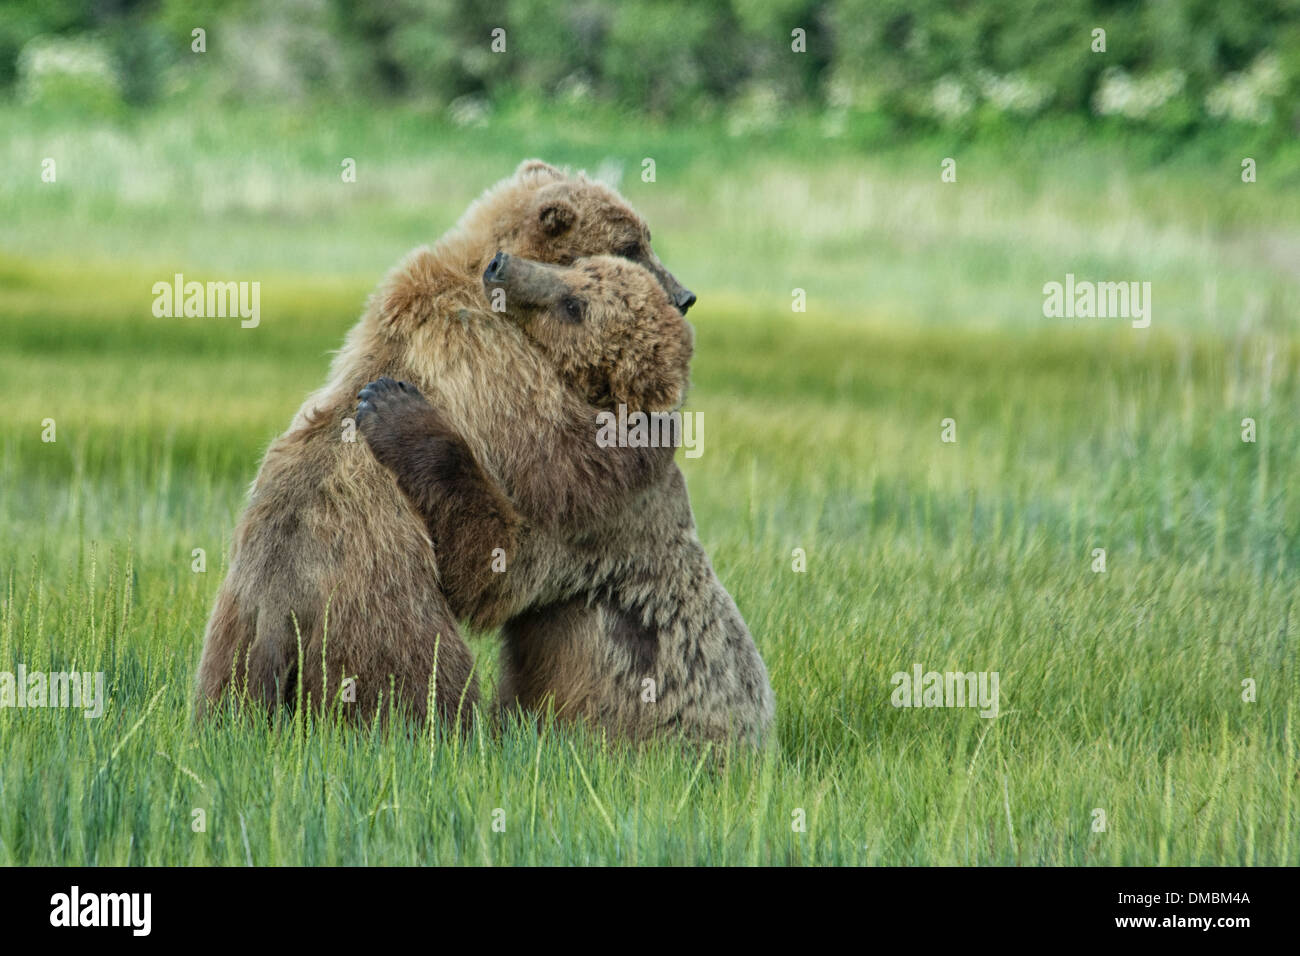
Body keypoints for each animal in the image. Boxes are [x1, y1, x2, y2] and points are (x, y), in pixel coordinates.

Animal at [361, 251, 769, 743]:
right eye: (578, 266)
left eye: (575, 307)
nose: (500, 264)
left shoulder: (590, 509)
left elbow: (496, 565)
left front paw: (390, 403)